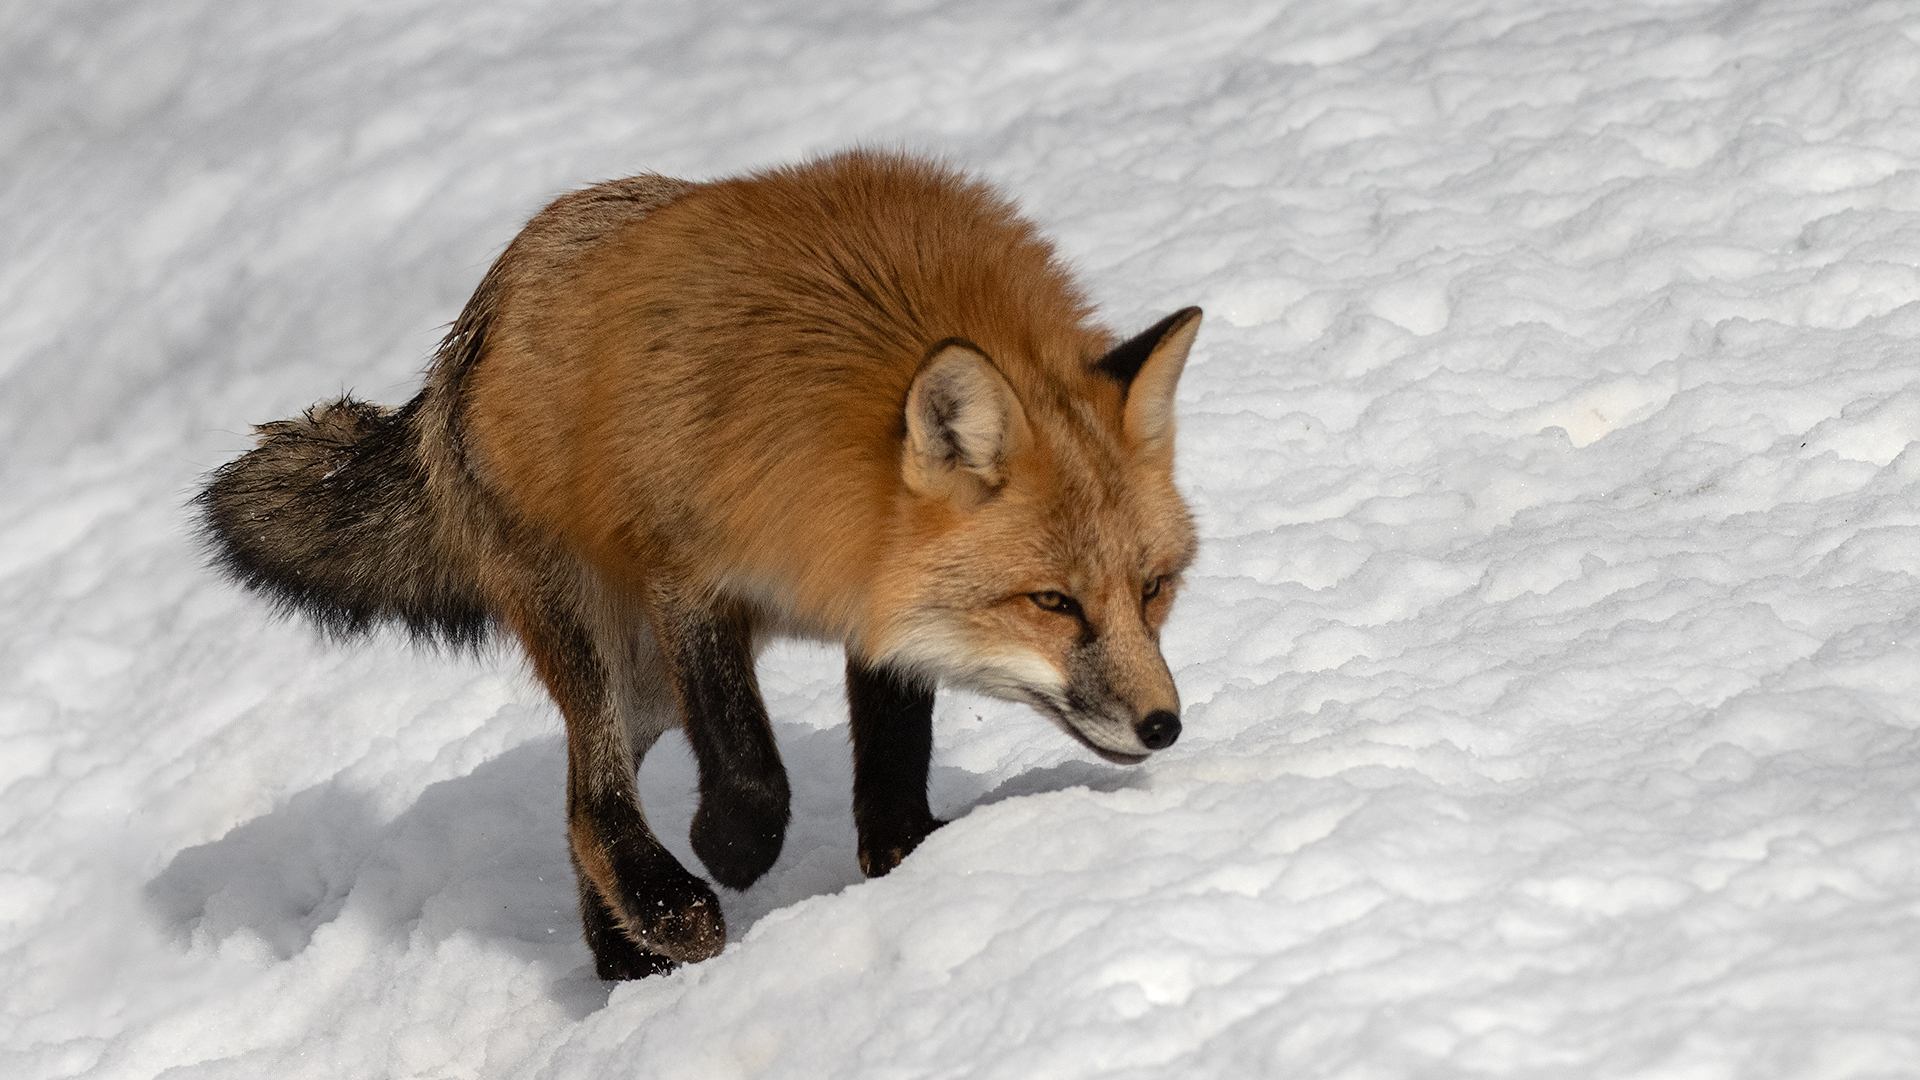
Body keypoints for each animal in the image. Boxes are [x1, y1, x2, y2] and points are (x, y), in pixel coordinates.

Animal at [206, 151, 1198, 976]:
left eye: (1153, 590)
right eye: (1052, 602)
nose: (1164, 726)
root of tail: (465, 335)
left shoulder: (875, 594)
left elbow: (893, 748)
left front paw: (904, 857)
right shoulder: (688, 572)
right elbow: (750, 762)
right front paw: (732, 849)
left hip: (644, 684)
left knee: (577, 802)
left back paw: (624, 954)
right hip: (594, 631)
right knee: (596, 797)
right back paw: (665, 914)